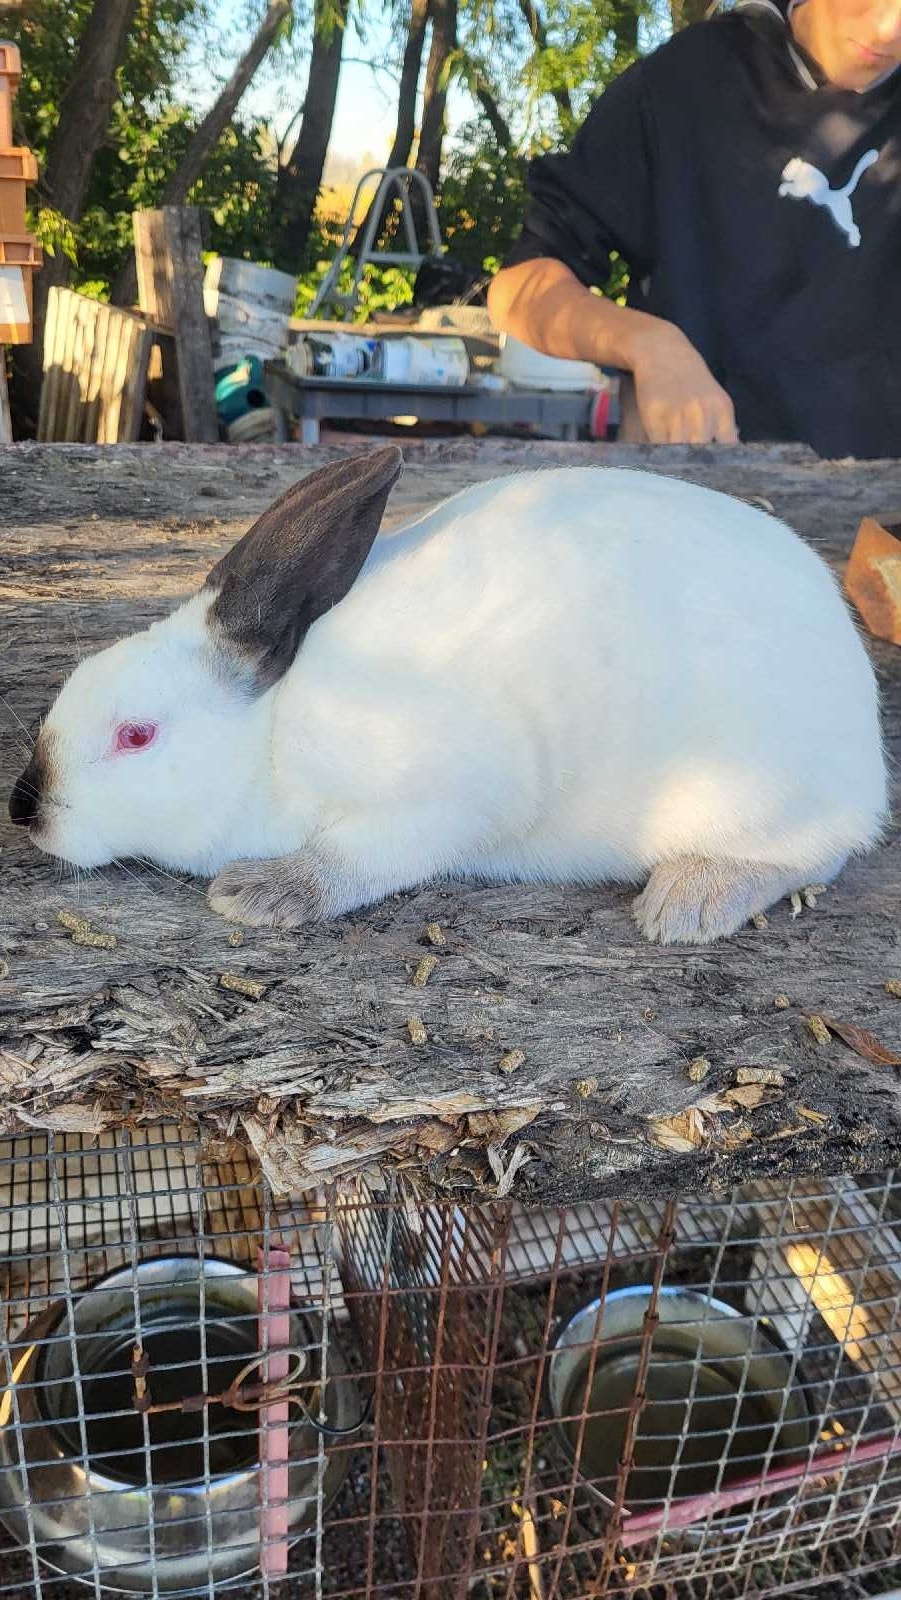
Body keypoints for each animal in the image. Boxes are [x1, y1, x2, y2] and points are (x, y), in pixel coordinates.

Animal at [9, 445, 887, 945]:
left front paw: (260, 893)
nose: (27, 811)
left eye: (136, 736)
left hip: (757, 793)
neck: (268, 738)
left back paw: (689, 901)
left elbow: (353, 858)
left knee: (819, 852)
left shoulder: (442, 801)